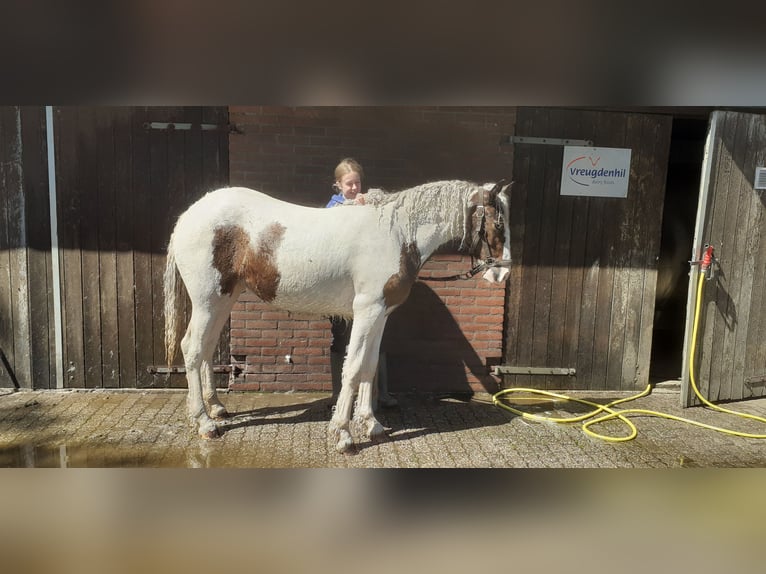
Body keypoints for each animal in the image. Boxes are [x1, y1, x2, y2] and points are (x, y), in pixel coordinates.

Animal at [163, 179, 512, 453]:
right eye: (498, 224)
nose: (502, 273)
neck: (397, 234)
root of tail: (188, 215)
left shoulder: (380, 314)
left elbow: (370, 366)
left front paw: (372, 425)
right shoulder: (366, 311)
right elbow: (353, 368)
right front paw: (343, 434)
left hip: (224, 299)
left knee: (206, 349)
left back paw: (217, 408)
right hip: (208, 299)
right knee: (192, 349)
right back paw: (205, 422)